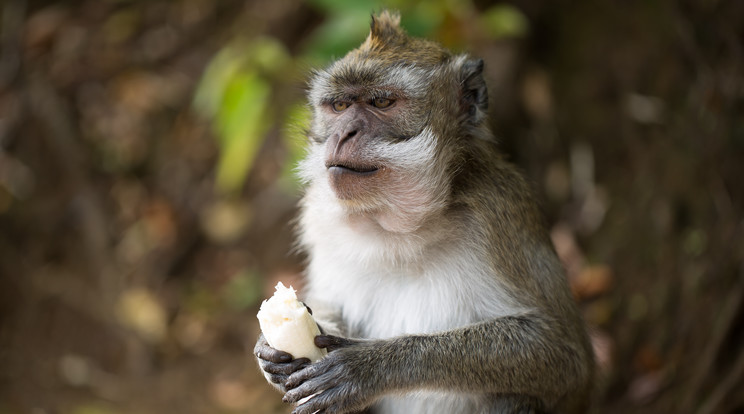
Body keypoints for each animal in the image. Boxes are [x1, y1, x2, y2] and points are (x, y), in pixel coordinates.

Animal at [256, 10, 592, 414]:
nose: (344, 133)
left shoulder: (499, 214)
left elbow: (562, 356)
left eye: (381, 102)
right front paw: (273, 353)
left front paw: (370, 366)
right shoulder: (318, 220)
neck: (398, 228)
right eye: (338, 107)